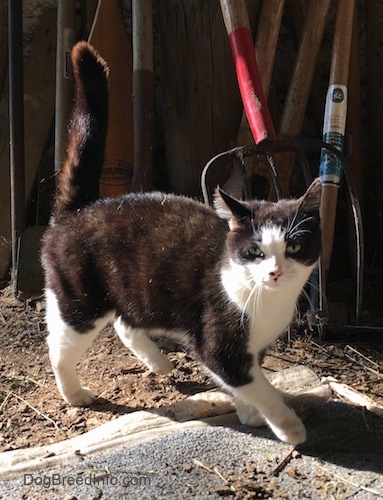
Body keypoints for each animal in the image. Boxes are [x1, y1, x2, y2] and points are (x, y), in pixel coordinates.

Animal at [42, 41, 322, 444]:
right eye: (255, 252)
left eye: (295, 248)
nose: (275, 272)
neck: (267, 302)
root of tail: (82, 208)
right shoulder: (221, 347)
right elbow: (259, 386)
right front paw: (288, 426)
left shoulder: (250, 349)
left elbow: (245, 385)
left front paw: (248, 412)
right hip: (80, 300)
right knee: (60, 345)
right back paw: (74, 392)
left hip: (136, 288)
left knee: (126, 322)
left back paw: (158, 361)